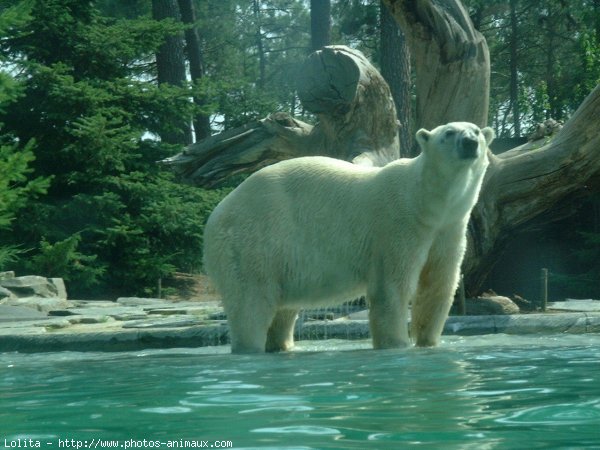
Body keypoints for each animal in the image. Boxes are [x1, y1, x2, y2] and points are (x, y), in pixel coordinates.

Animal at [202, 121, 492, 354]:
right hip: (251, 242)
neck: (423, 202)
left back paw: (281, 346)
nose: (470, 142)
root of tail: (215, 216)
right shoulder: (396, 226)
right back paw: (250, 347)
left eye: (477, 130)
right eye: (449, 133)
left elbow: (438, 285)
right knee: (250, 304)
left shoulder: (448, 229)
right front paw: (397, 344)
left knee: (282, 311)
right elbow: (391, 288)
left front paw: (428, 343)